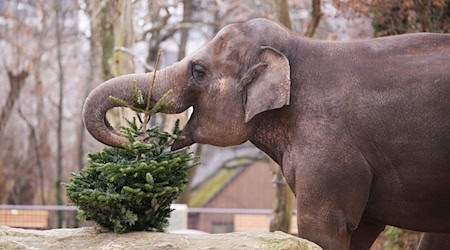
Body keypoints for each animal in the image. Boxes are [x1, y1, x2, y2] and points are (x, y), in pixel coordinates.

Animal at [81, 18, 450, 249]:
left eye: (198, 71)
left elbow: (322, 229)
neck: (300, 48)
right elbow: (362, 228)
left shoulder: (331, 150)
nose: (143, 140)